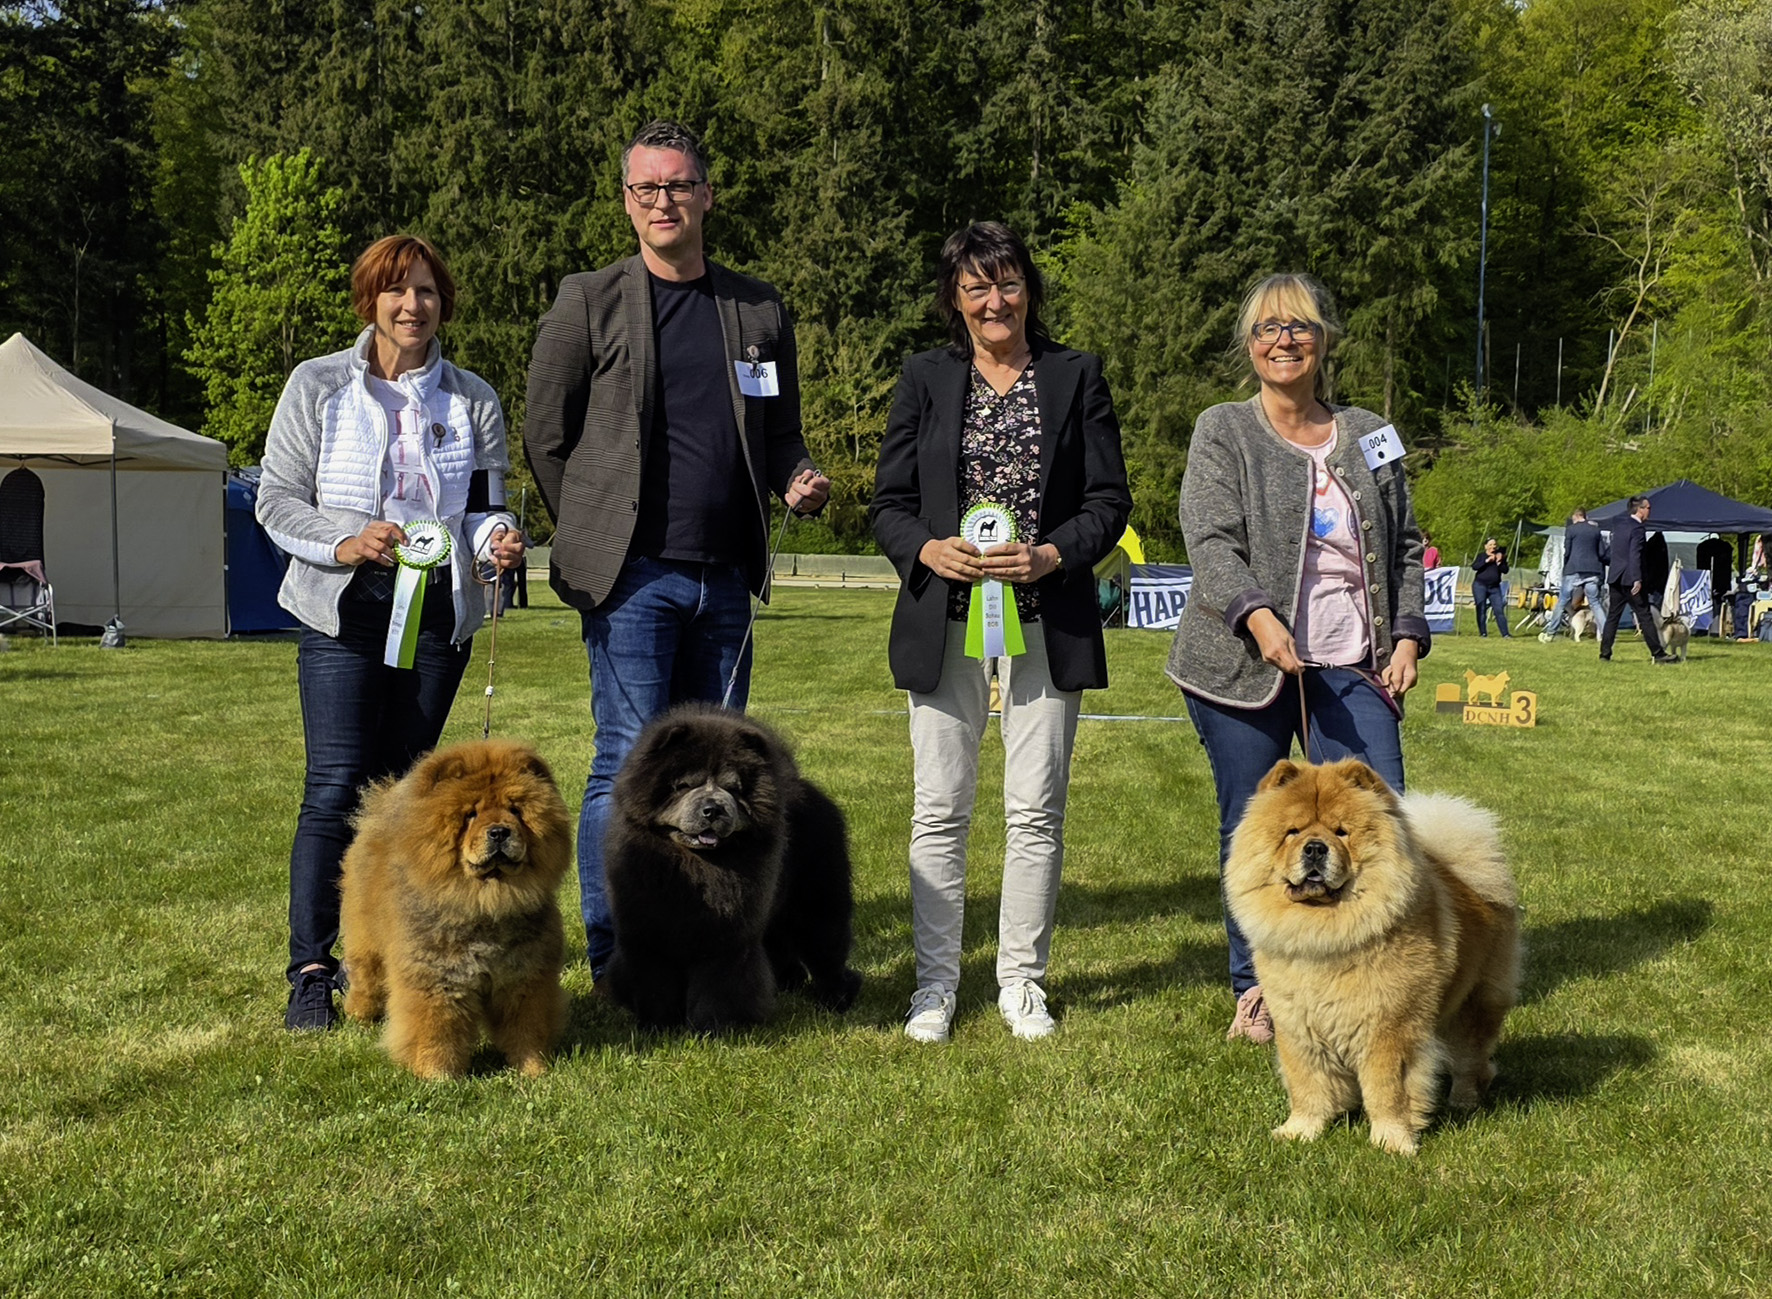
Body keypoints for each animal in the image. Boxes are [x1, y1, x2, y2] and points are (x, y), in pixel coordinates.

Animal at [339, 739, 572, 1078]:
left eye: (516, 810)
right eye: (471, 815)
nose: (499, 831)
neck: (486, 903)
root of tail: (378, 812)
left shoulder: (525, 978)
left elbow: (526, 1028)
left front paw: (533, 1069)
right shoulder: (438, 979)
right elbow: (437, 1029)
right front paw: (437, 1075)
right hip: (366, 942)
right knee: (365, 979)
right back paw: (359, 1016)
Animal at [602, 704, 862, 1033]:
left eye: (732, 788)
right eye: (684, 785)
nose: (712, 809)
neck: (695, 865)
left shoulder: (727, 938)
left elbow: (719, 987)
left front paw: (715, 1029)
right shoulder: (647, 936)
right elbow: (655, 985)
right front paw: (659, 1027)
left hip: (817, 901)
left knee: (827, 951)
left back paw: (836, 999)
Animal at [1224, 759, 1521, 1155]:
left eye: (1342, 832)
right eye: (1292, 832)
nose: (1315, 848)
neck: (1324, 932)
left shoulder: (1388, 1030)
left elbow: (1388, 1091)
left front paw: (1392, 1142)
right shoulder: (1297, 1028)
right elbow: (1307, 1086)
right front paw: (1299, 1132)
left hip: (1473, 1005)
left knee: (1472, 1060)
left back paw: (1464, 1100)